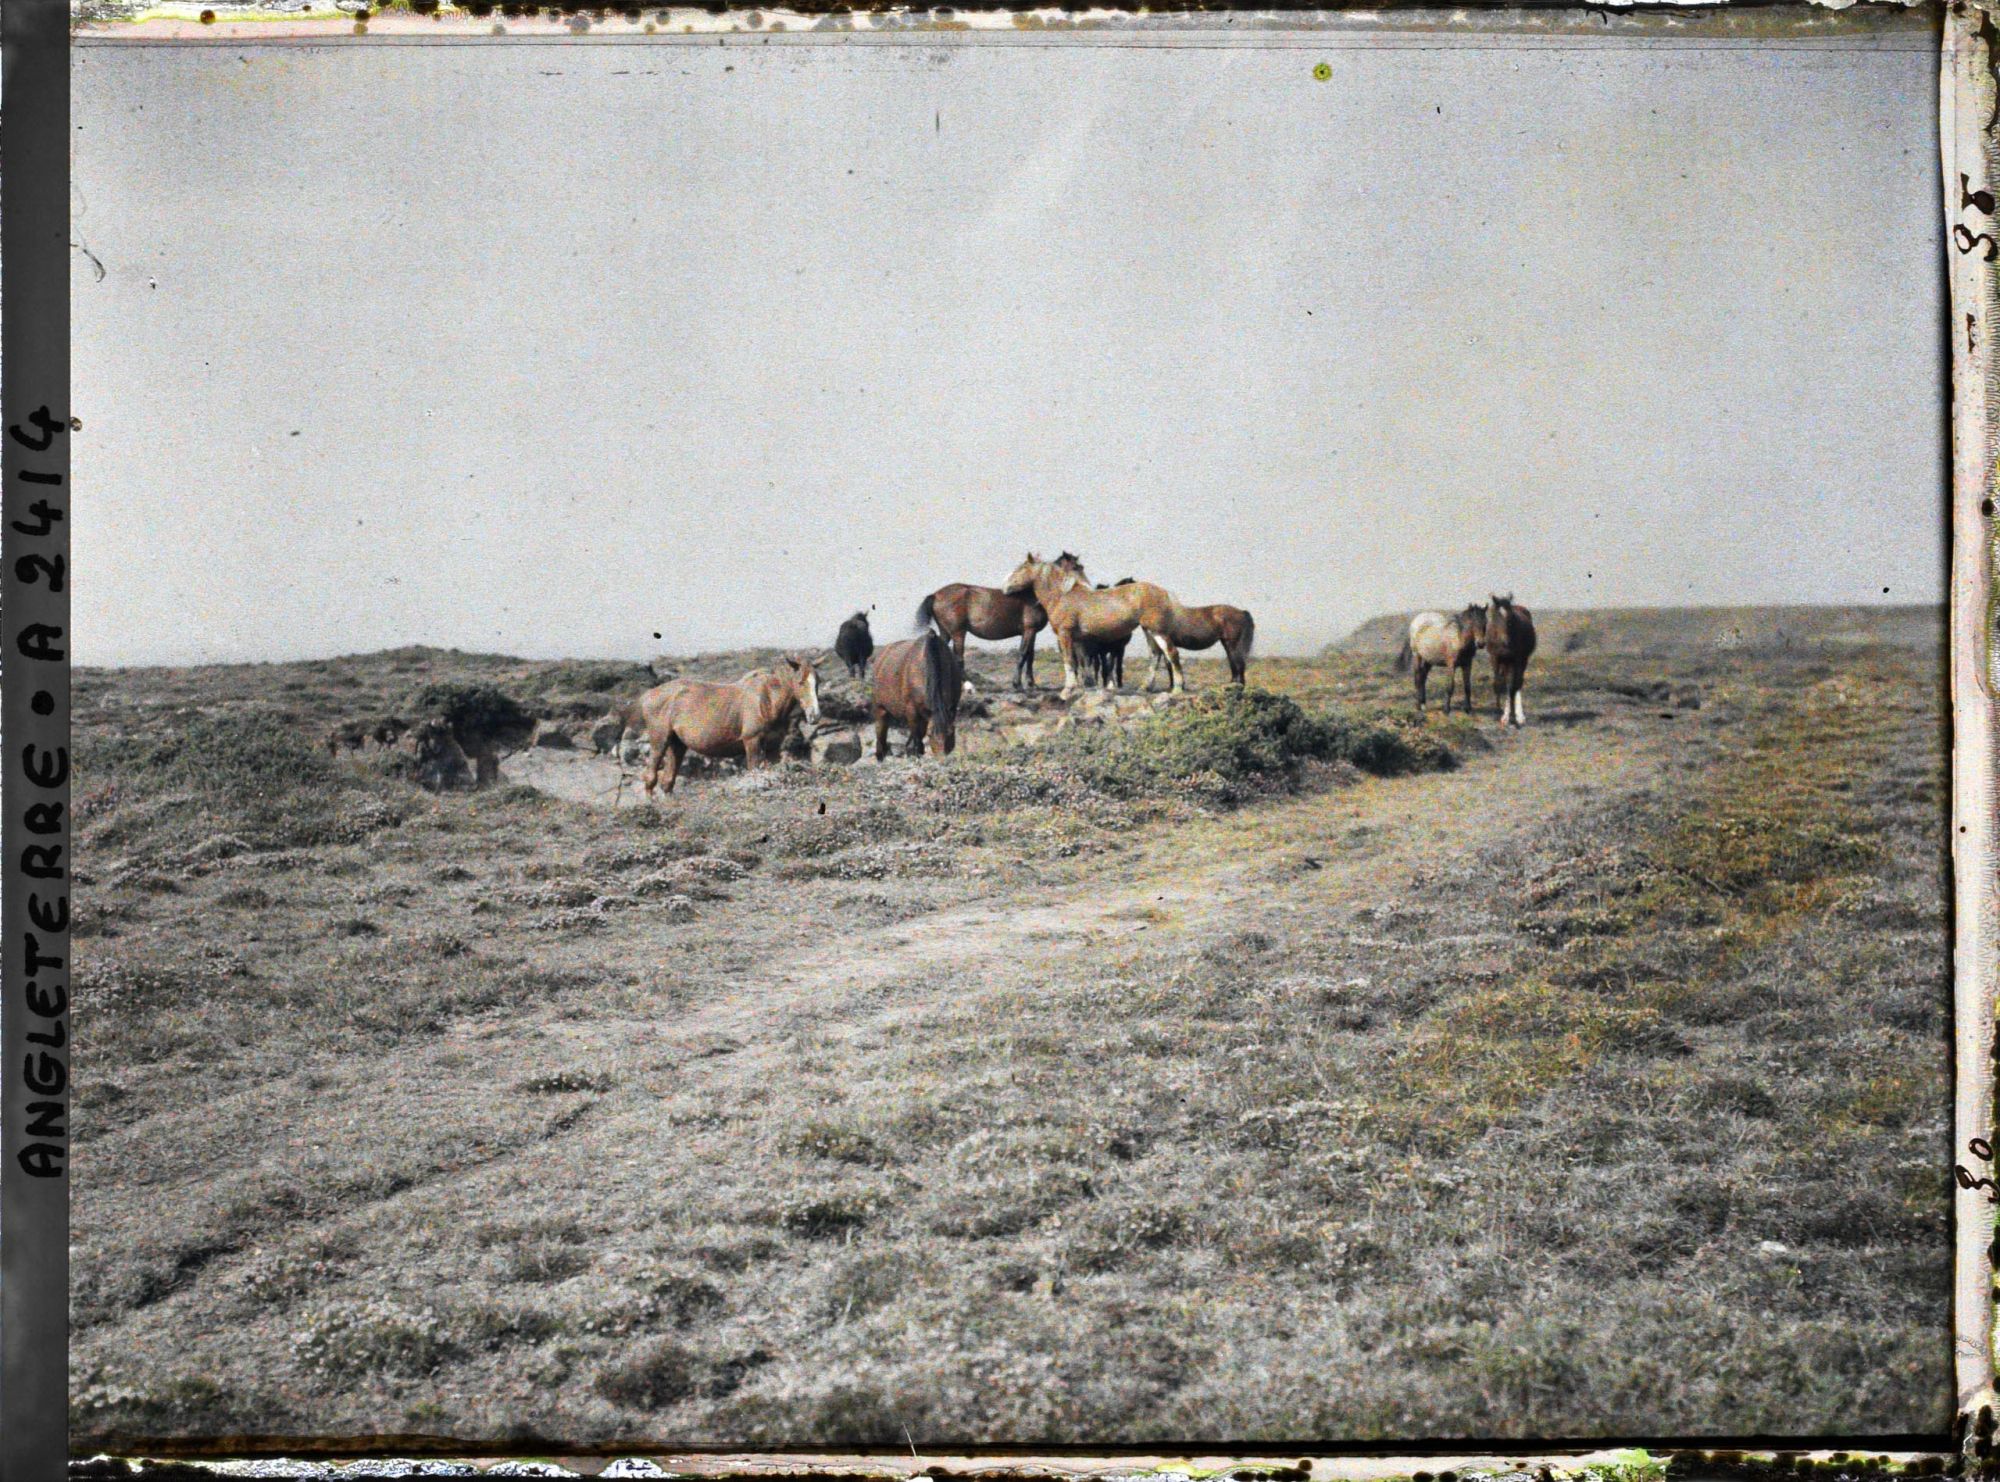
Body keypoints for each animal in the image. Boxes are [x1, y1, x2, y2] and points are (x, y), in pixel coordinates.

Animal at [637, 654, 822, 797]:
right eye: (800, 682)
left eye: (817, 682)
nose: (815, 715)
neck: (768, 698)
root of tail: (648, 695)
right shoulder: (752, 742)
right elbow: (754, 772)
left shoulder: (772, 748)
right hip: (659, 742)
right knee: (651, 777)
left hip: (677, 744)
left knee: (667, 781)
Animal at [870, 631, 964, 760]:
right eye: (930, 735)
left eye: (951, 732)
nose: (942, 759)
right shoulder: (912, 711)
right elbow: (917, 735)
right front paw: (916, 752)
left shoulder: (951, 708)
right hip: (879, 707)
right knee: (881, 732)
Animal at [916, 583, 1048, 690]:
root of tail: (935, 595)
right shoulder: (1029, 630)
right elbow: (1023, 654)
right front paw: (1018, 684)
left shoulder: (1032, 632)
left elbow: (1030, 656)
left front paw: (1031, 683)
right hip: (958, 633)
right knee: (958, 658)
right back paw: (969, 685)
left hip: (946, 632)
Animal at [1002, 553, 1255, 697]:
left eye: (1020, 569)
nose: (1005, 587)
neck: (1064, 595)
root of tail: (1163, 592)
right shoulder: (1082, 642)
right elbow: (1084, 663)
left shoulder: (1065, 635)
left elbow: (1070, 662)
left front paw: (1068, 690)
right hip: (1148, 631)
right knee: (1156, 656)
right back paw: (1146, 687)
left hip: (1157, 630)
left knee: (1171, 654)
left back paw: (1176, 688)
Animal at [1484, 593, 1537, 727]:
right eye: (1495, 617)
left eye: (1510, 619)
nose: (1505, 642)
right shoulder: (1495, 658)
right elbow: (1498, 683)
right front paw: (1498, 713)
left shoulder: (1518, 659)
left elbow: (1515, 684)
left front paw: (1516, 717)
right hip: (1506, 663)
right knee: (1508, 683)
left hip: (1521, 660)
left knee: (1517, 683)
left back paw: (1518, 715)